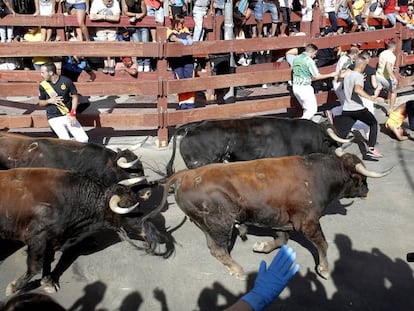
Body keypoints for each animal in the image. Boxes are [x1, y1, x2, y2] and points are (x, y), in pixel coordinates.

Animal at [0, 168, 168, 298]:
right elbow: (35, 266)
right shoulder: (38, 238)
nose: (154, 234)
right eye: (129, 211)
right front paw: (13, 287)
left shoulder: (52, 240)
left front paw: (48, 283)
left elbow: (47, 262)